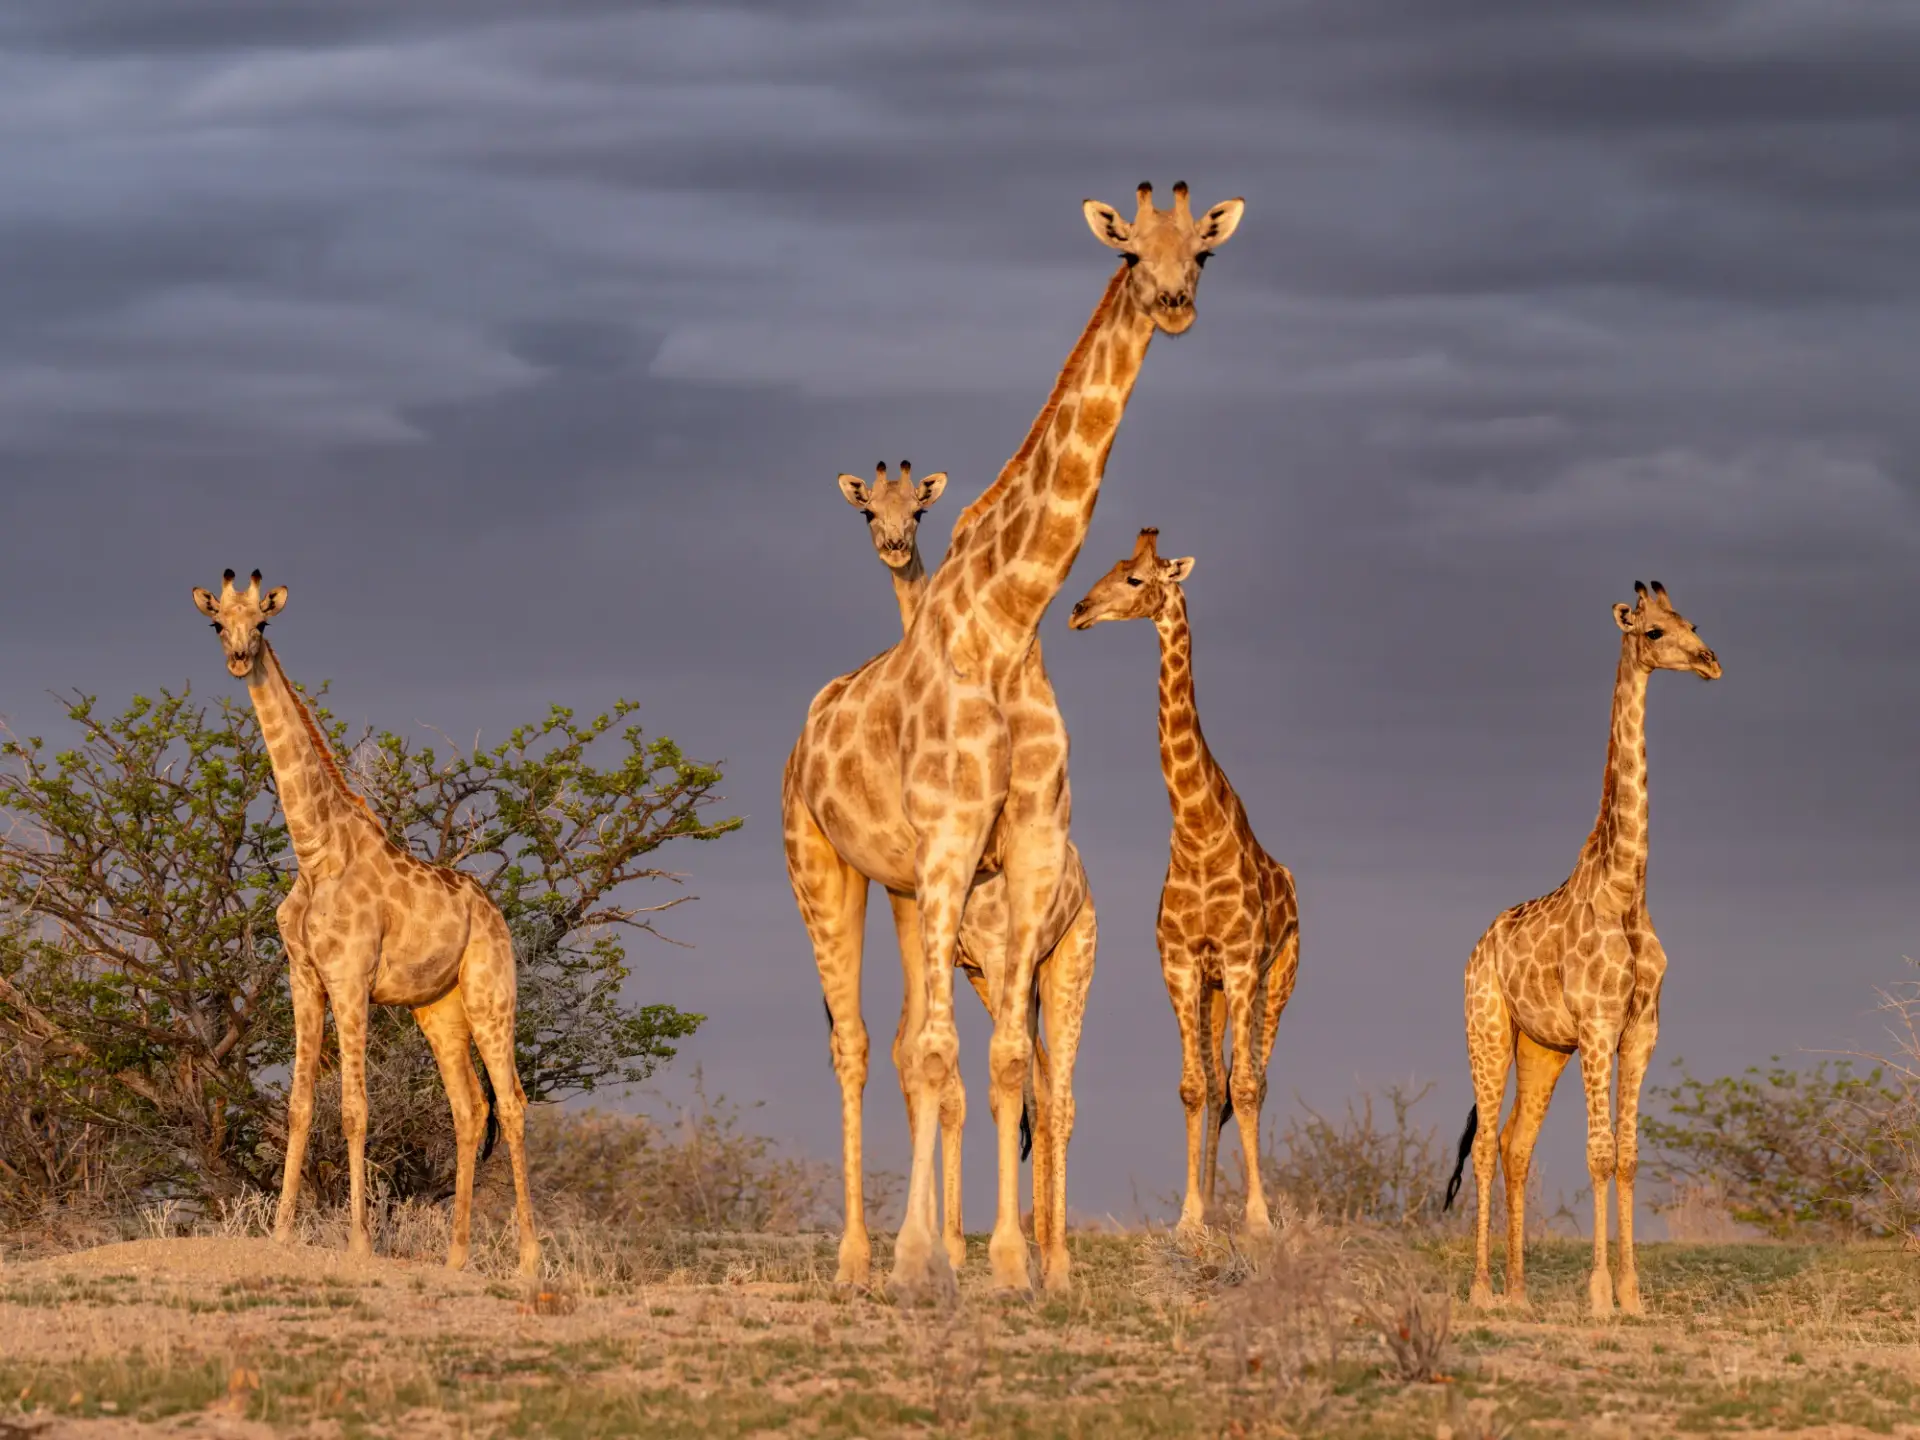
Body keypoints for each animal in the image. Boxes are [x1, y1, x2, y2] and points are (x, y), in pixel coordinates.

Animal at [190, 571, 540, 1277]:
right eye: (217, 623)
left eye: (263, 624)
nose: (239, 658)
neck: (316, 850)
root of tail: (494, 913)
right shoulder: (304, 979)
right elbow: (299, 1105)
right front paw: (281, 1234)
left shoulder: (351, 979)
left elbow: (354, 1108)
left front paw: (357, 1241)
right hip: (438, 1007)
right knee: (470, 1109)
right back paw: (456, 1258)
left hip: (492, 993)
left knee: (513, 1104)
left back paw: (528, 1259)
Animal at [833, 460, 1099, 1282]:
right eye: (867, 511)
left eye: (918, 510)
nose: (892, 545)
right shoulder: (956, 952)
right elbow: (939, 1074)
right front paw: (945, 1245)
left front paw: (951, 1248)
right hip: (1004, 971)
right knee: (1035, 1083)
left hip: (1066, 956)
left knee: (1056, 1094)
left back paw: (1054, 1256)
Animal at [1068, 528, 1299, 1236]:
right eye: (1112, 567)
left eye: (1137, 579)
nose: (1078, 610)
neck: (1197, 833)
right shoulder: (1179, 963)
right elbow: (1195, 1087)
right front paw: (1193, 1218)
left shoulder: (1244, 961)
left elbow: (1247, 1086)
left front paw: (1256, 1219)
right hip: (1215, 990)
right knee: (1219, 1080)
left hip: (1276, 980)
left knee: (1254, 1078)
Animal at [1442, 580, 1721, 1318]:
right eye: (1653, 633)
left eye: (1690, 621)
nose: (1710, 661)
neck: (1625, 887)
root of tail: (1476, 949)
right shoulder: (1598, 1024)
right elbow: (1598, 1153)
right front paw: (1600, 1296)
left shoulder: (1641, 1029)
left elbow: (1626, 1157)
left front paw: (1633, 1296)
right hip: (1488, 1028)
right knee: (1486, 1147)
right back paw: (1482, 1291)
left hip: (1543, 1047)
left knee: (1515, 1145)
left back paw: (1518, 1292)